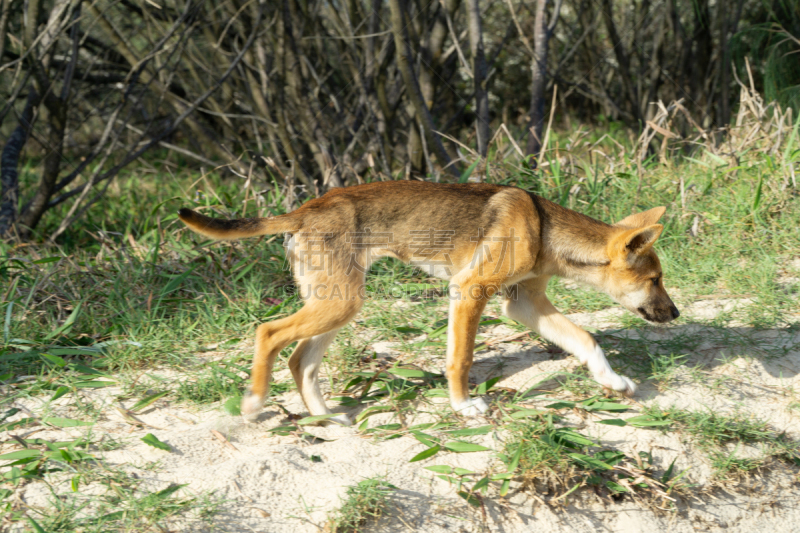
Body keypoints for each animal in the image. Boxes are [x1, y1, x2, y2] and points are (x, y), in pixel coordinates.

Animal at [178, 182, 680, 424]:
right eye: (654, 279)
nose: (674, 313)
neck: (544, 227)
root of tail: (304, 209)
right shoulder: (470, 291)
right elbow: (460, 359)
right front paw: (463, 407)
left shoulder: (524, 306)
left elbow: (587, 341)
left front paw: (613, 382)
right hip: (339, 305)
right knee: (268, 332)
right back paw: (253, 403)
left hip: (337, 303)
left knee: (301, 360)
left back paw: (324, 419)